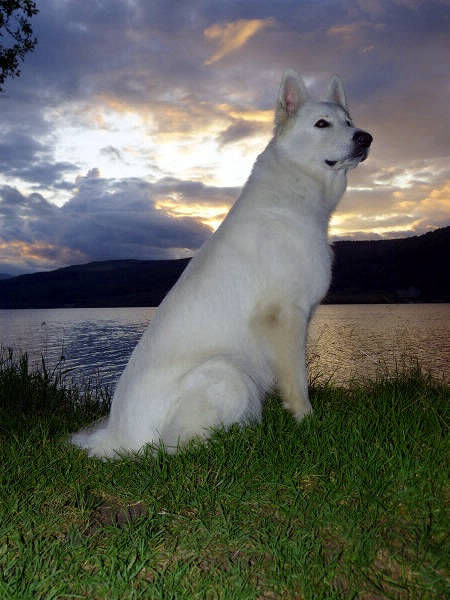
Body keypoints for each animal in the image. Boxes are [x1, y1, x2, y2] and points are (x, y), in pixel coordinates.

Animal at [71, 70, 372, 458]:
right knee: (180, 447)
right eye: (322, 123)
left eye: (349, 121)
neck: (294, 187)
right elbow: (298, 381)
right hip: (226, 372)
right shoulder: (287, 316)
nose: (365, 137)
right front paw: (306, 420)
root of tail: (118, 439)